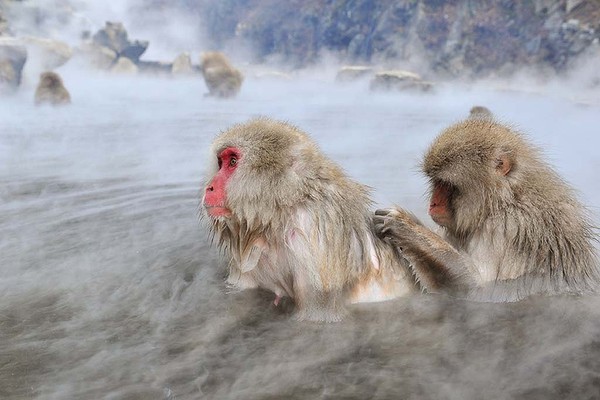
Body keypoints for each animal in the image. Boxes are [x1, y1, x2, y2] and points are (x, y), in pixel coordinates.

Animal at [202, 116, 418, 322]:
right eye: (220, 163)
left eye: (232, 162)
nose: (209, 187)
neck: (279, 216)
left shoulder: (314, 239)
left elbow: (319, 315)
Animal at [376, 117, 600, 302]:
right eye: (435, 182)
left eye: (446, 184)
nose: (433, 204)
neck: (501, 201)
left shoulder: (507, 227)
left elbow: (479, 290)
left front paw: (407, 228)